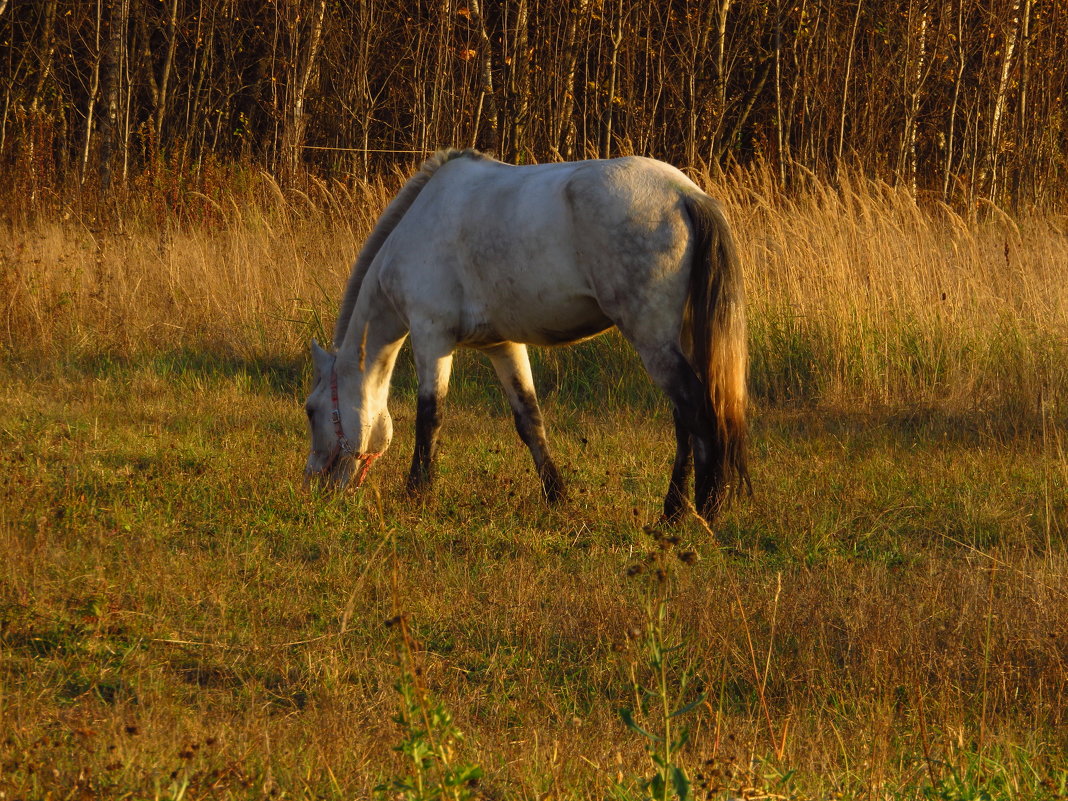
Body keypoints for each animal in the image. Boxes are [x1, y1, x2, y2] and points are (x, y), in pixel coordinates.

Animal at [305, 149, 747, 527]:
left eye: (310, 410)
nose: (315, 486)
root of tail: (685, 194)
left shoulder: (432, 334)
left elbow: (429, 416)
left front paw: (418, 493)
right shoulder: (503, 346)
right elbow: (529, 420)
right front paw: (556, 496)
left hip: (653, 339)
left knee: (696, 411)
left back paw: (700, 511)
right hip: (679, 339)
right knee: (684, 420)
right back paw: (676, 510)